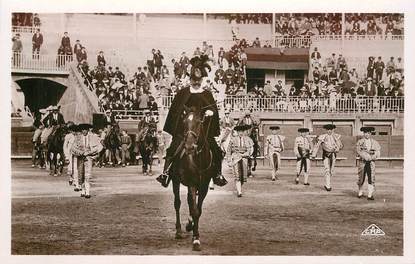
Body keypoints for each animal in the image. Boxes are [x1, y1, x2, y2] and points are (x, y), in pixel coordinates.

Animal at [171, 105, 218, 252]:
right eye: (184, 122)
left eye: (199, 122)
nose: (189, 146)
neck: (199, 160)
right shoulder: (192, 184)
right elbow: (195, 210)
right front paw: (196, 238)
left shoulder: (203, 186)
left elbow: (198, 209)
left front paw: (194, 233)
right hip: (175, 181)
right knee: (177, 203)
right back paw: (178, 230)